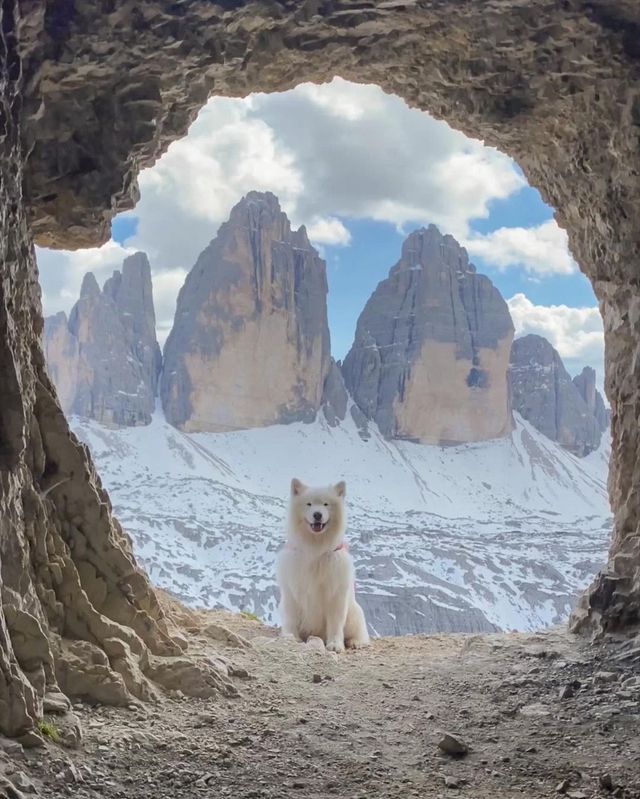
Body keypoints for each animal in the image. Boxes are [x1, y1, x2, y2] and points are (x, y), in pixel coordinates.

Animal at [276, 478, 370, 652]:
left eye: (326, 504)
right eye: (309, 504)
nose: (317, 515)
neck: (316, 550)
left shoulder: (336, 594)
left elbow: (335, 623)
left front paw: (335, 645)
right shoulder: (291, 590)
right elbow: (291, 616)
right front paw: (290, 637)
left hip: (354, 612)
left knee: (358, 632)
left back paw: (356, 642)